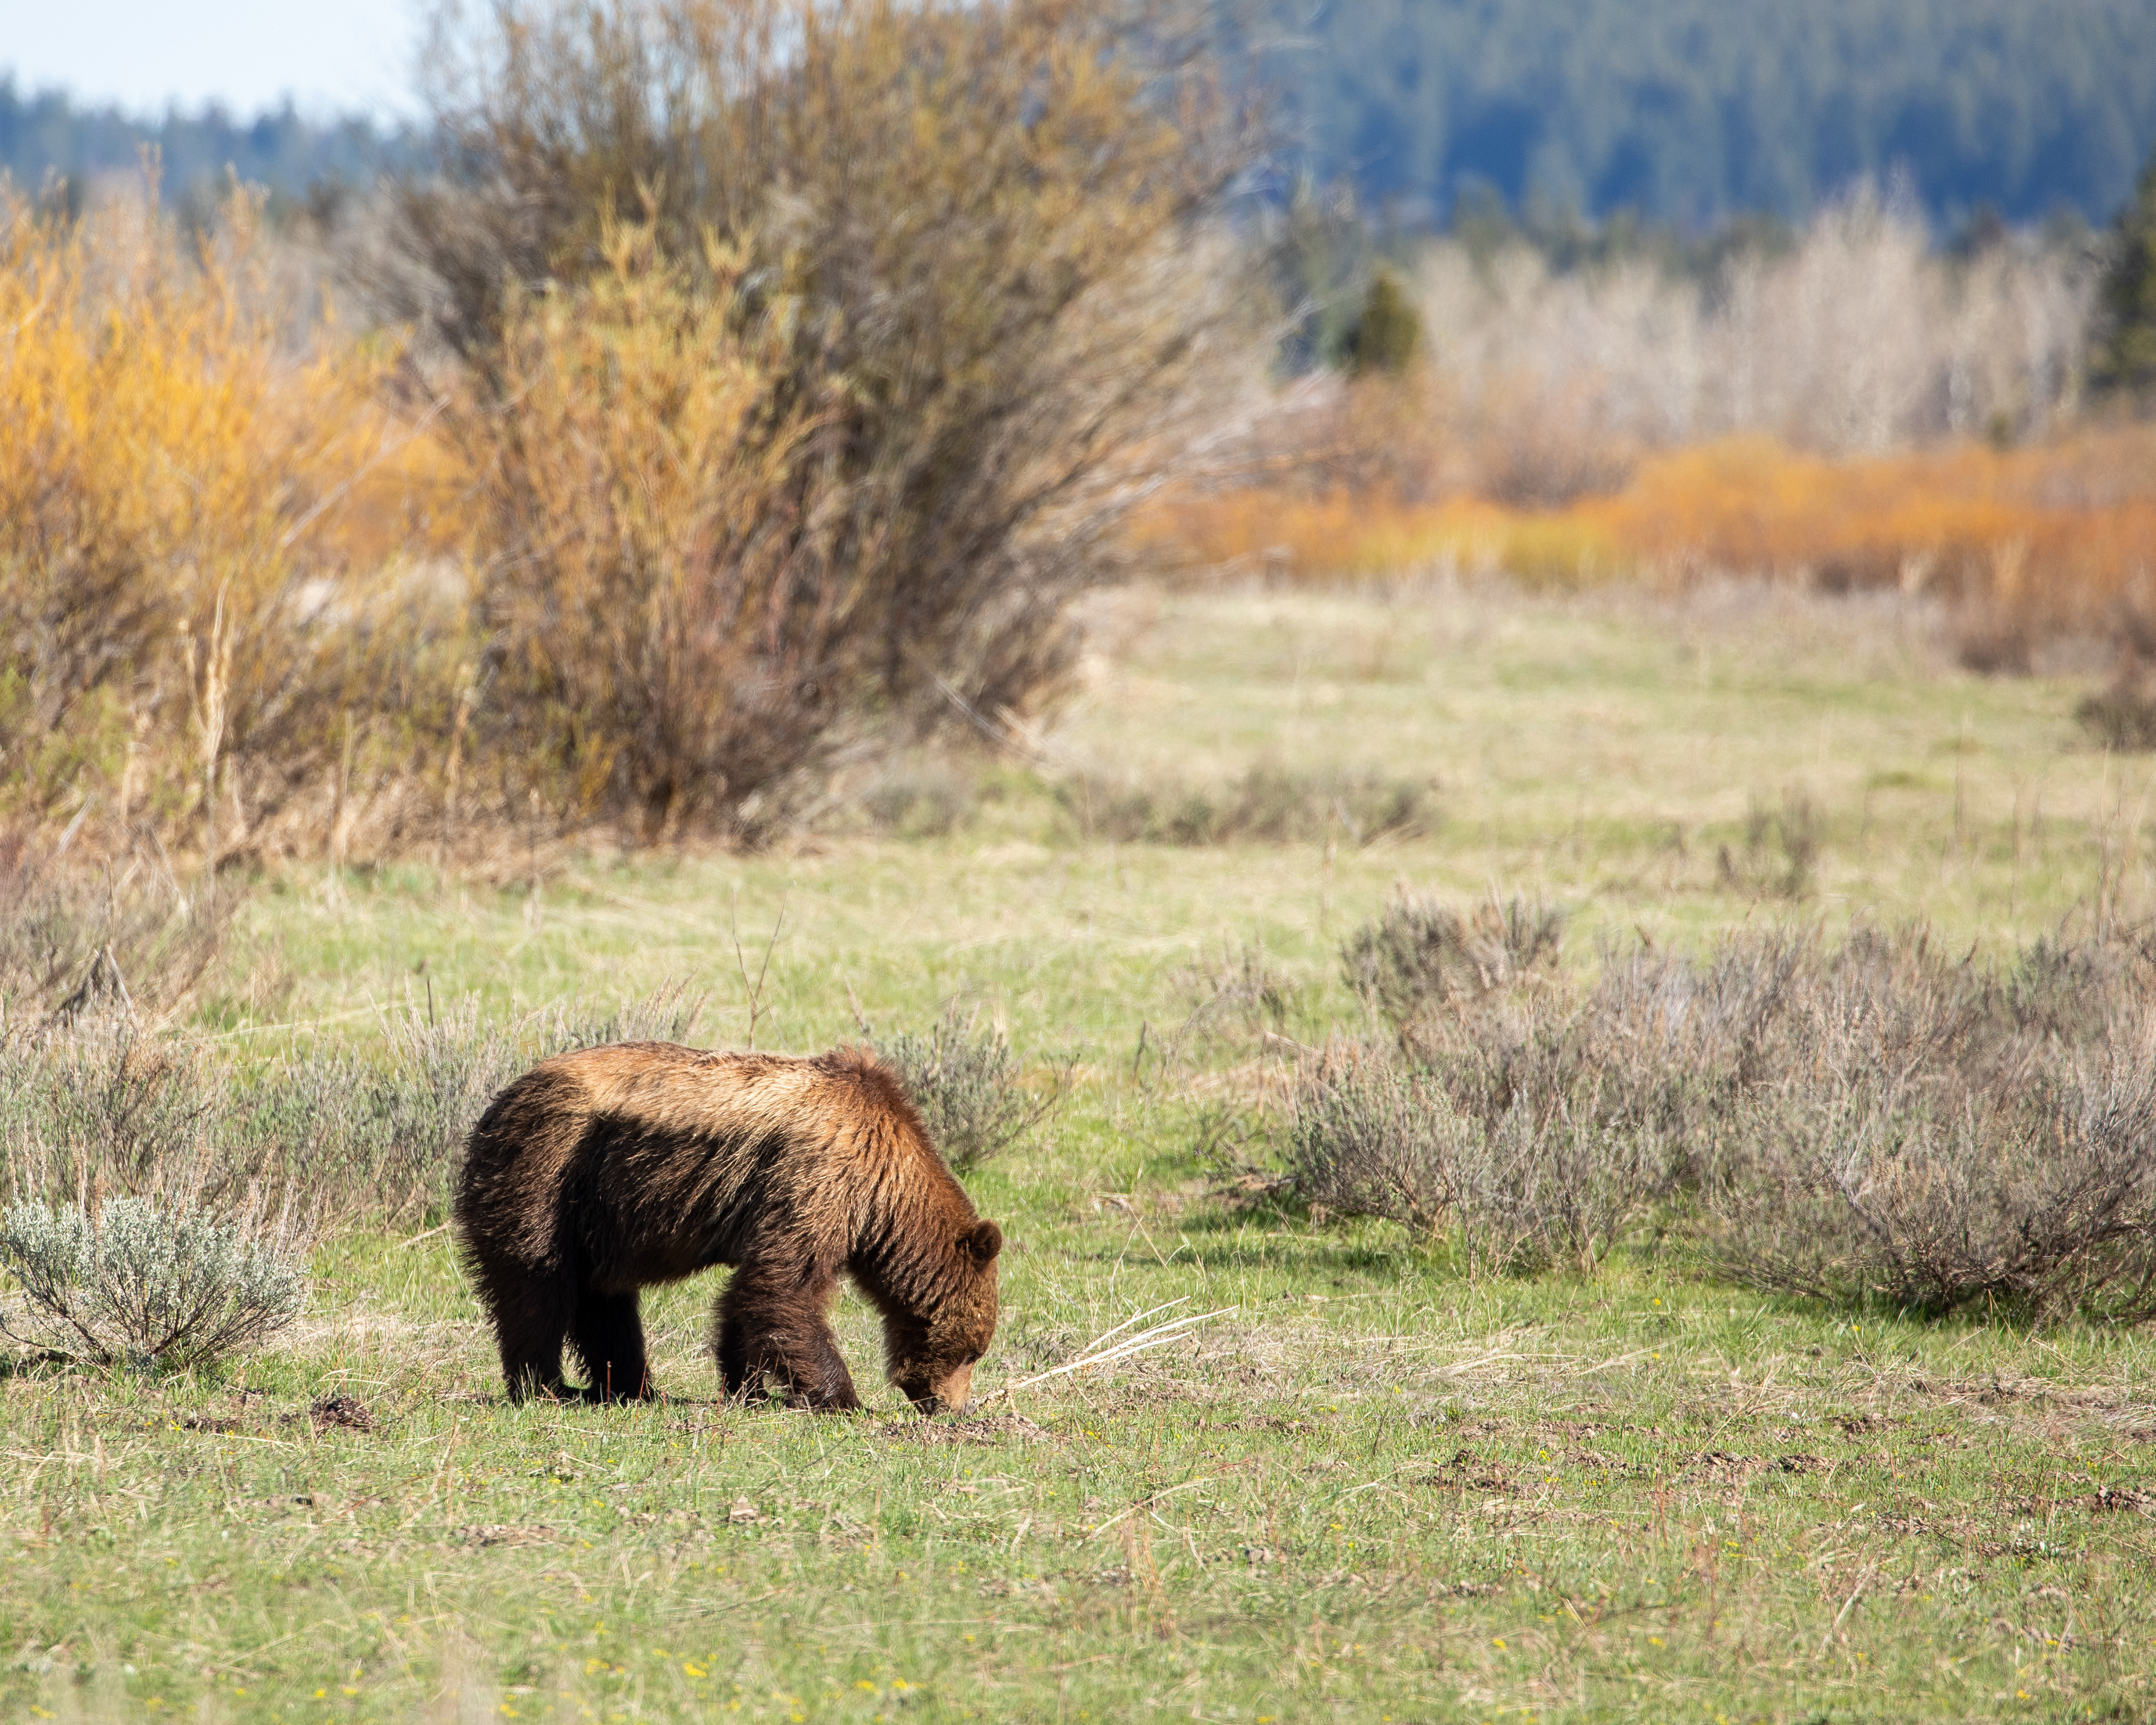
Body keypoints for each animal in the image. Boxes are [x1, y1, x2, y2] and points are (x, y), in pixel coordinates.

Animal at [453, 1042, 1002, 1413]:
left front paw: (748, 1386)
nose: (952, 1408)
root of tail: (497, 1101)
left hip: (596, 1214)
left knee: (603, 1300)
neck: (886, 1188)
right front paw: (843, 1398)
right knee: (536, 1283)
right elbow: (784, 1284)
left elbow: (750, 1297)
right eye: (974, 1352)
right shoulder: (821, 1175)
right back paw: (549, 1387)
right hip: (550, 1170)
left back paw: (633, 1386)